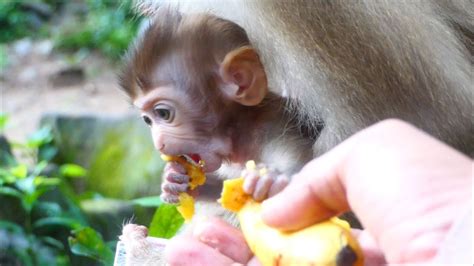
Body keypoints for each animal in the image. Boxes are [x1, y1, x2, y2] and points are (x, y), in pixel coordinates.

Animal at [119, 7, 318, 206]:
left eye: (162, 113)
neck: (241, 129)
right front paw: (172, 179)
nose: (159, 145)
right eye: (147, 120)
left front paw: (270, 179)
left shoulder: (274, 129)